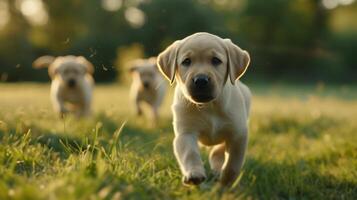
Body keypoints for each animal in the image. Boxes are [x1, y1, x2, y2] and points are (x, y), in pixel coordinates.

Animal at [157, 32, 252, 186]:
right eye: (186, 61)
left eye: (216, 60)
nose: (200, 80)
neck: (209, 106)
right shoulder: (185, 133)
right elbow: (190, 153)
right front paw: (194, 174)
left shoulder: (238, 134)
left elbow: (233, 164)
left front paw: (225, 182)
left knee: (217, 152)